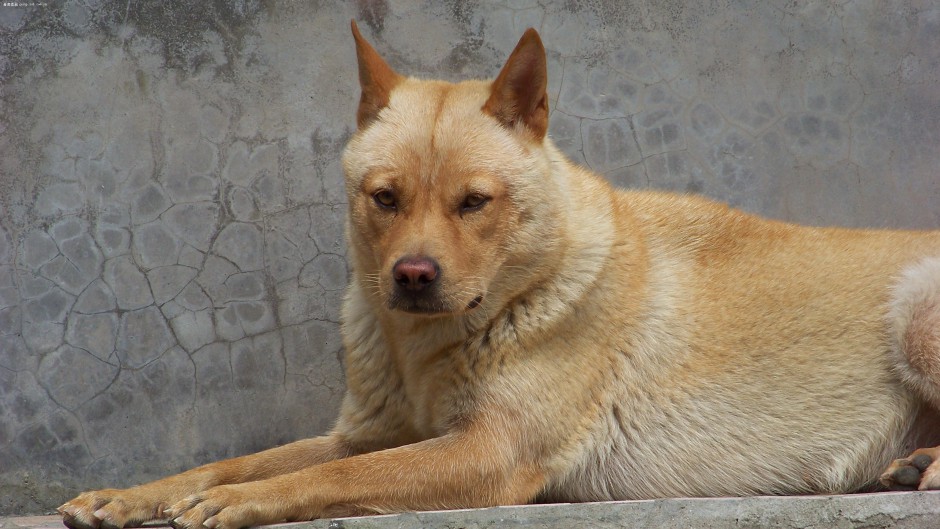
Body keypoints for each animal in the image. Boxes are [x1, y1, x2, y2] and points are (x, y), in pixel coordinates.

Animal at [57, 20, 940, 528]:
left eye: (474, 201)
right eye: (385, 197)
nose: (412, 275)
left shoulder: (490, 449)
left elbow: (337, 474)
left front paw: (237, 503)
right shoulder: (370, 428)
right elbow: (258, 458)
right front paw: (130, 495)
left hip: (915, 315)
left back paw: (925, 466)